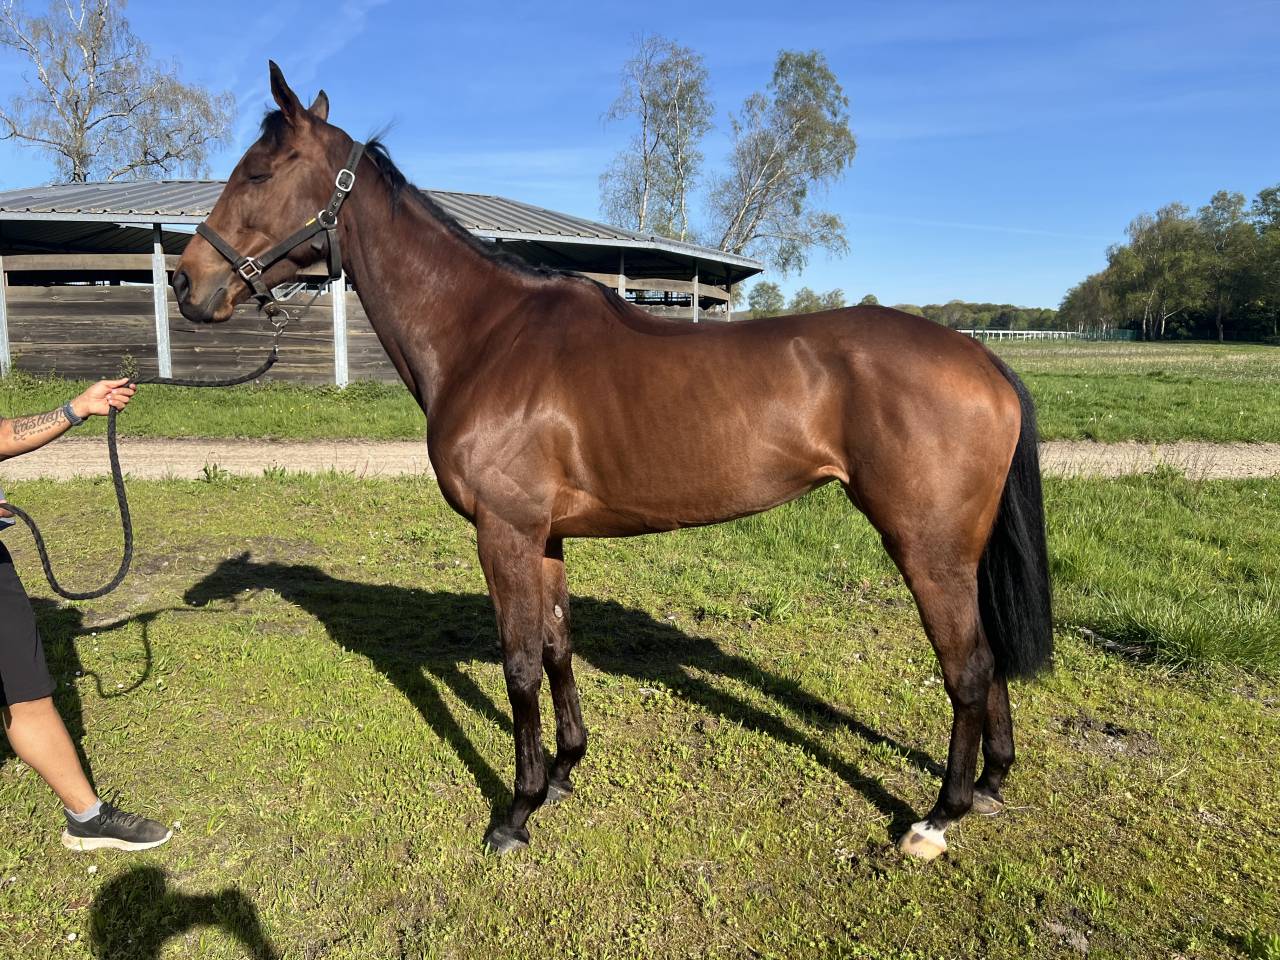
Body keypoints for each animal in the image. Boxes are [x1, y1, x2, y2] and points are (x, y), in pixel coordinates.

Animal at [172, 62, 1053, 861]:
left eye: (257, 173)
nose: (187, 282)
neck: (486, 336)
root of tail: (983, 357)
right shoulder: (545, 536)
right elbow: (557, 646)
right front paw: (564, 773)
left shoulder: (503, 533)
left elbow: (518, 664)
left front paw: (516, 812)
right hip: (955, 553)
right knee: (986, 659)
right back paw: (990, 784)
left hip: (925, 545)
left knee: (968, 667)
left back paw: (936, 819)